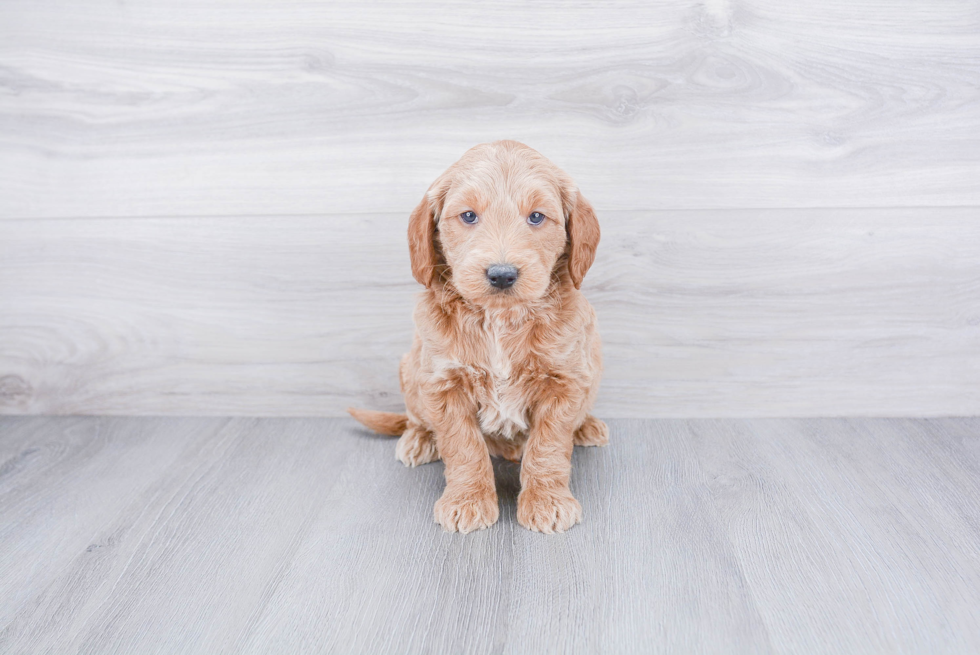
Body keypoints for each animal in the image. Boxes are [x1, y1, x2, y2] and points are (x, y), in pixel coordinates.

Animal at [344, 141, 604, 536]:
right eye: (468, 216)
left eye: (536, 217)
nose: (502, 274)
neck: (499, 319)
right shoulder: (443, 384)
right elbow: (463, 446)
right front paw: (467, 502)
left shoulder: (565, 382)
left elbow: (548, 447)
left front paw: (547, 501)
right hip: (410, 367)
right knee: (414, 416)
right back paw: (418, 439)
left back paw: (587, 426)